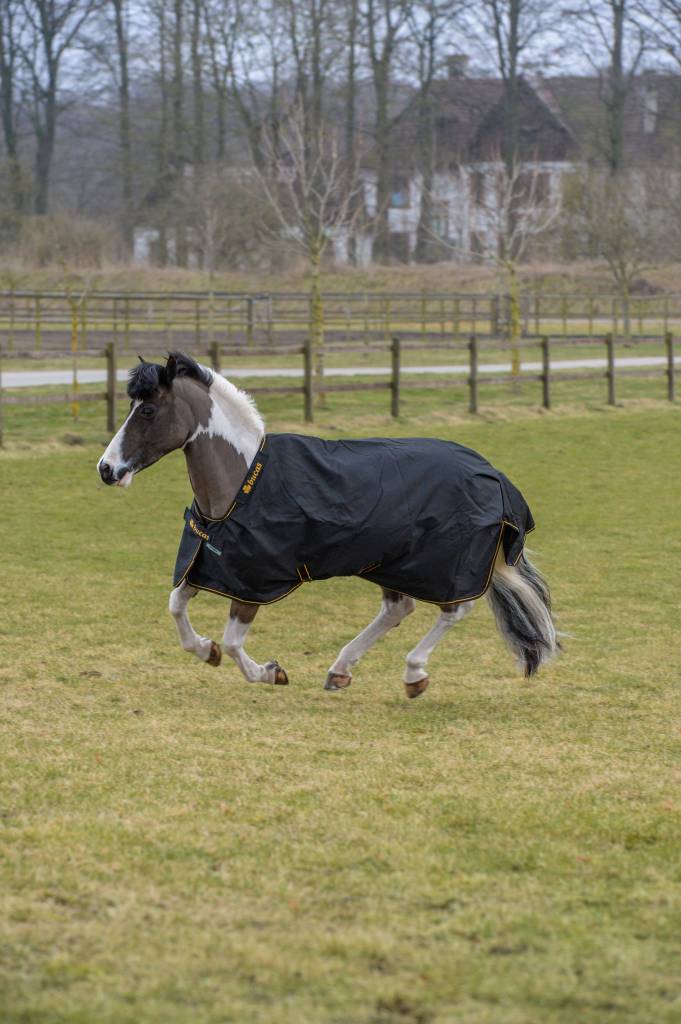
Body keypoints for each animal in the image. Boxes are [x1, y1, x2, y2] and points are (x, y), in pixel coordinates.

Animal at [96, 352, 557, 696]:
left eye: (148, 410)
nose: (106, 469)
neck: (241, 483)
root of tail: (493, 474)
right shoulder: (210, 566)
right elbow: (176, 606)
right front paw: (205, 650)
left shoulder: (253, 582)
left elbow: (232, 641)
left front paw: (270, 672)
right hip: (390, 562)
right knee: (398, 608)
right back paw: (340, 671)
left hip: (440, 566)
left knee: (454, 609)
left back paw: (414, 674)